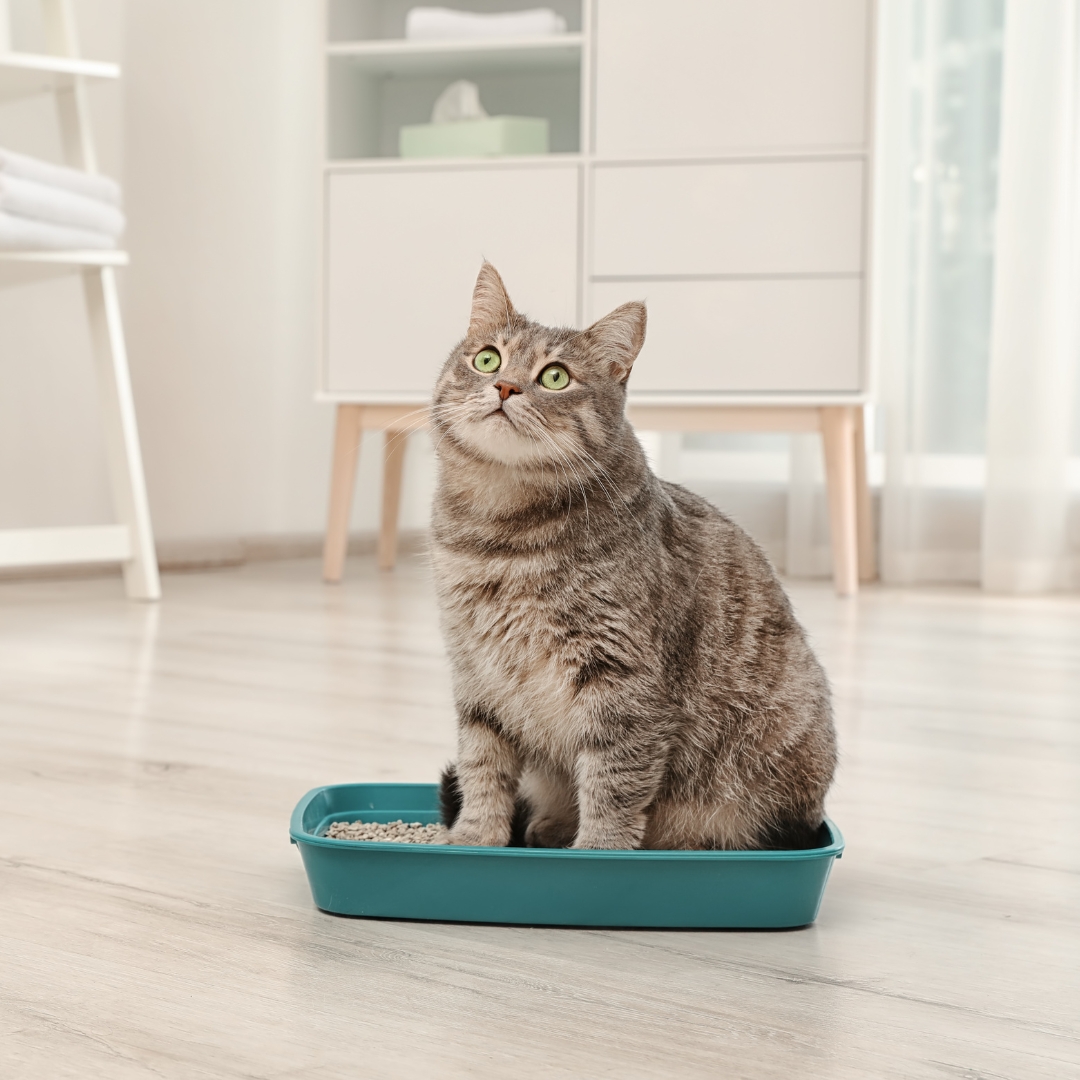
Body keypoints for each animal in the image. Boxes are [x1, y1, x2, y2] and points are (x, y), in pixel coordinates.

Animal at [427, 263, 833, 851]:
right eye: (487, 359)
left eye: (555, 377)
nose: (504, 386)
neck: (499, 533)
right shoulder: (476, 671)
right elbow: (482, 766)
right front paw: (474, 837)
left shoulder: (621, 677)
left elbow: (614, 780)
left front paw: (599, 851)